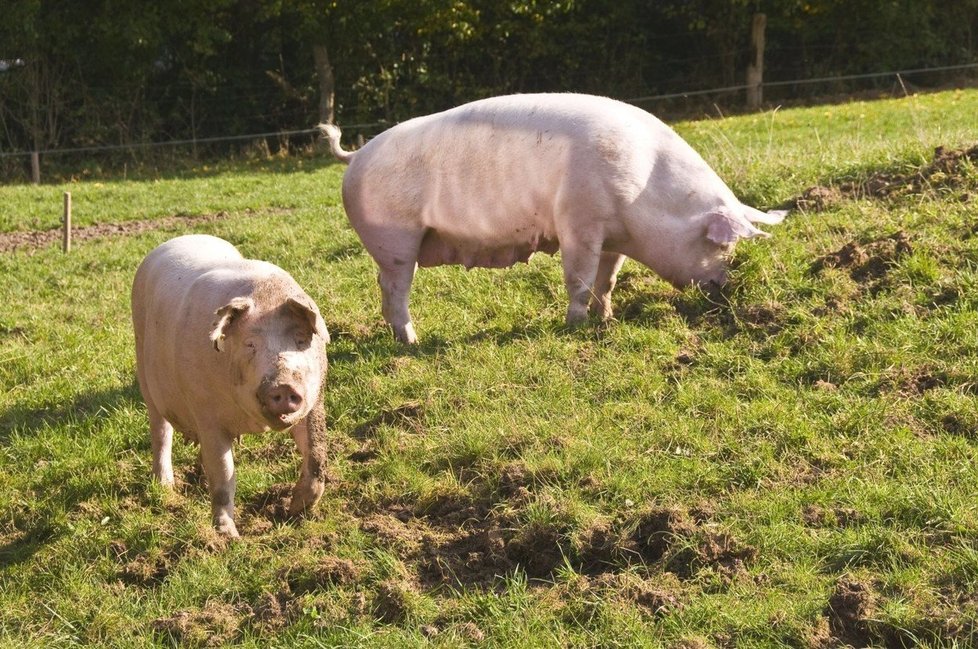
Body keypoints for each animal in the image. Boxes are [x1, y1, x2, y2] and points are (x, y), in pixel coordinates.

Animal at [132, 234, 330, 536]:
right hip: (144, 371)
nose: (283, 386)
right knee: (161, 432)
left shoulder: (314, 401)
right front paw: (228, 536)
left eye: (300, 340)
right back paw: (165, 487)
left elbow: (317, 455)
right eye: (250, 344)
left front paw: (295, 511)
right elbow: (224, 475)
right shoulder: (207, 414)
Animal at [320, 93, 784, 344]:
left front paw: (606, 319)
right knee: (395, 291)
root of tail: (355, 156)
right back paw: (413, 341)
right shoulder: (579, 223)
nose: (725, 286)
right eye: (720, 242)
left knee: (386, 291)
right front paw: (576, 326)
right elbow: (579, 279)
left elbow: (607, 279)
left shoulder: (613, 237)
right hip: (394, 239)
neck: (646, 197)